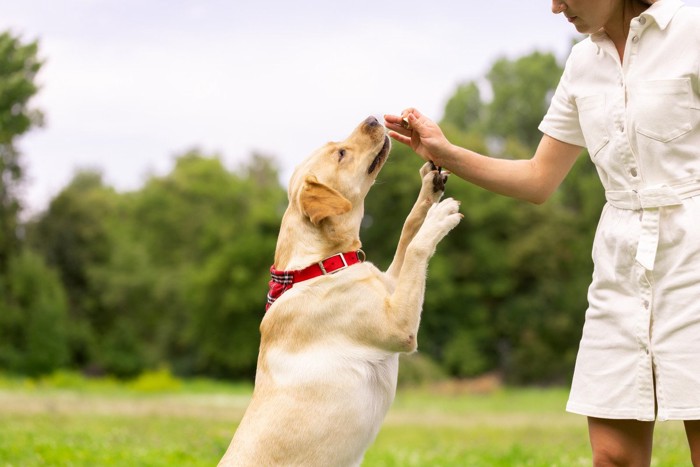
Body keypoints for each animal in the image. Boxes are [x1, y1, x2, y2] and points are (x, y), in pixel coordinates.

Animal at [219, 115, 460, 466]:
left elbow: (407, 231)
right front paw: (438, 219)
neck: (320, 264)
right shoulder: (398, 327)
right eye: (341, 155)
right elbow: (416, 247)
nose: (372, 118)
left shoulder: (390, 284)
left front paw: (429, 189)